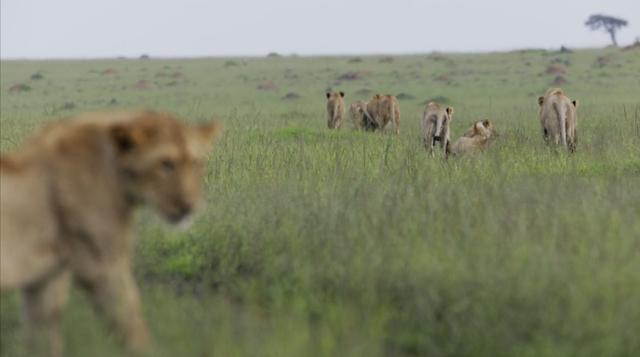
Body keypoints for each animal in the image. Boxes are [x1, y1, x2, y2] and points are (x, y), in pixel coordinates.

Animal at [0, 110, 220, 354]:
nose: (189, 205)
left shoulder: (45, 280)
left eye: (196, 163)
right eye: (166, 164)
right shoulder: (101, 267)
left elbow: (42, 338)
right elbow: (131, 322)